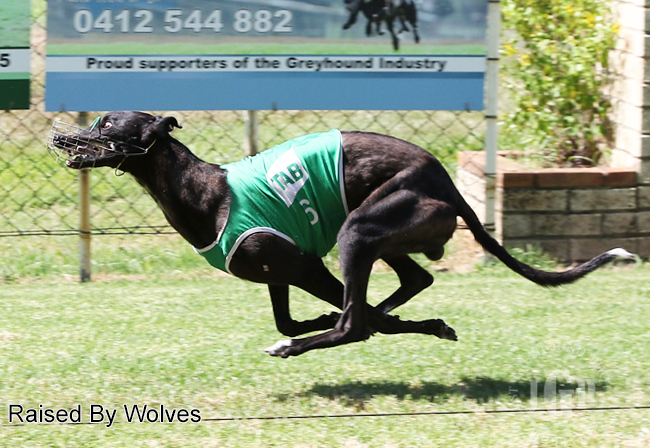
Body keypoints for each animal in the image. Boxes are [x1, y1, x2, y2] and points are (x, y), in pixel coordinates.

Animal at [49, 111, 633, 358]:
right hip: (383, 234)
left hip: (359, 230)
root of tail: (443, 177)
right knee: (413, 280)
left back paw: (302, 344)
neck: (205, 190)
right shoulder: (278, 273)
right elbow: (292, 313)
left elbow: (353, 319)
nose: (58, 137)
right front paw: (422, 325)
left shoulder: (307, 266)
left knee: (356, 319)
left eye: (106, 125)